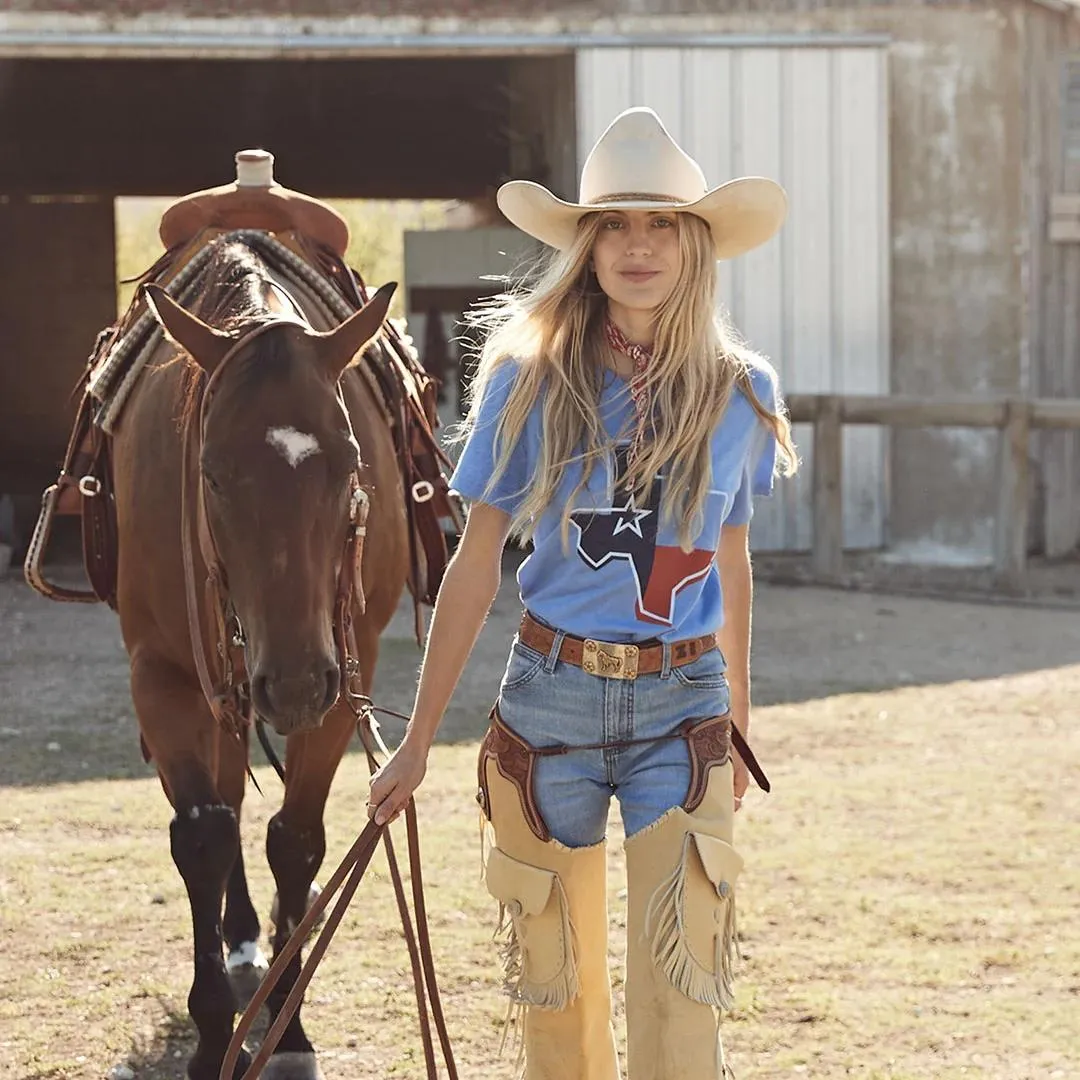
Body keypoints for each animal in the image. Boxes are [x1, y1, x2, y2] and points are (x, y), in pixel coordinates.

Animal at [111, 243, 408, 1080]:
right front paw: (215, 1032)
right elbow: (204, 834)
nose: (298, 681)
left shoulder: (346, 673)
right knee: (225, 801)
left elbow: (296, 839)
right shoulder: (160, 676)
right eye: (211, 472)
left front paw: (290, 1024)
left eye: (349, 464)